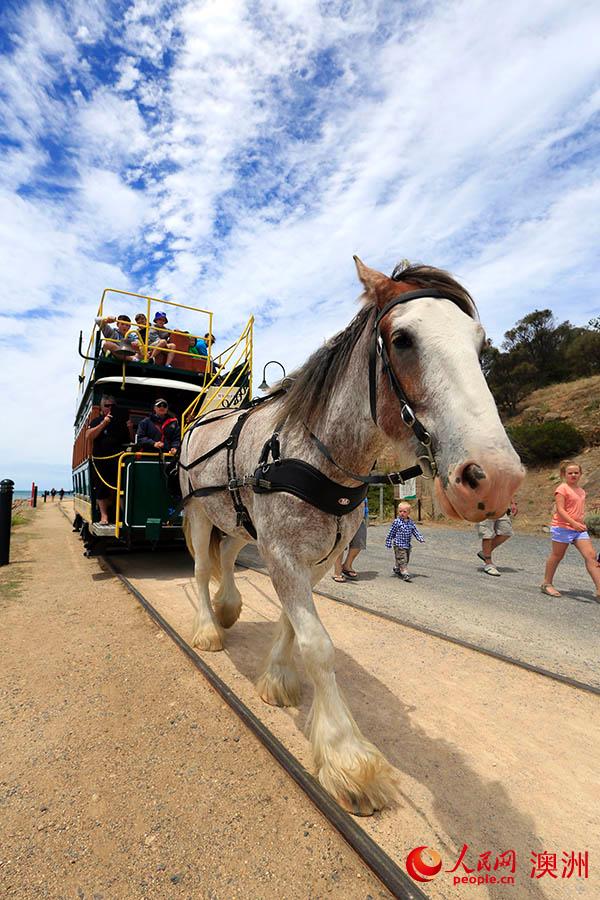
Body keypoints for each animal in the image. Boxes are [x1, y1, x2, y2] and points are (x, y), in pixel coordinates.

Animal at [179, 258, 524, 816]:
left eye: (480, 344)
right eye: (402, 339)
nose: (494, 479)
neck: (314, 454)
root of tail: (204, 415)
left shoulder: (317, 560)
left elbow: (291, 624)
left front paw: (277, 679)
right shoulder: (282, 554)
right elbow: (318, 645)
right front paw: (347, 758)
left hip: (235, 517)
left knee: (227, 557)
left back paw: (229, 607)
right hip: (198, 513)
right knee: (202, 568)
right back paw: (209, 628)